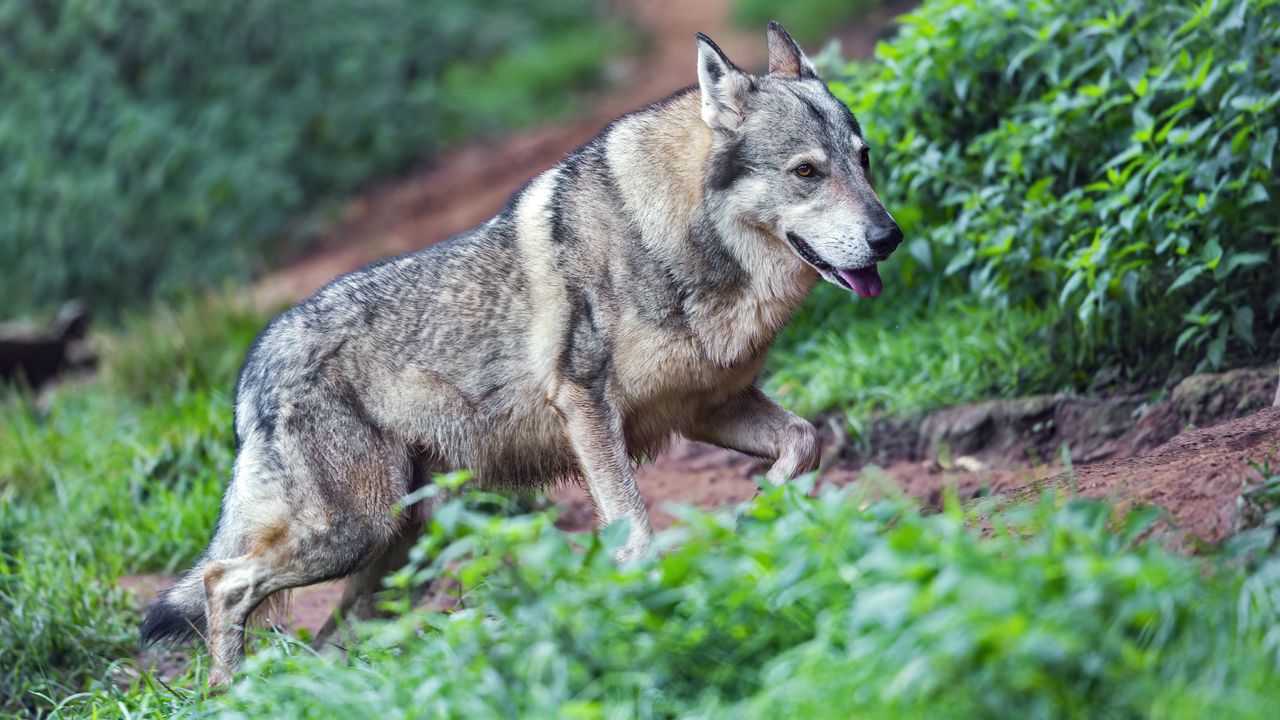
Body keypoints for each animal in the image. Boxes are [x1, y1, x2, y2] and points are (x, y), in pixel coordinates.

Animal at [140, 22, 901, 681]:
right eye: (807, 172)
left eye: (863, 160)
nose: (888, 236)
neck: (676, 240)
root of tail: (255, 363)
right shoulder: (588, 407)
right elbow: (635, 532)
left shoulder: (708, 409)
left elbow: (805, 441)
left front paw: (757, 519)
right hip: (353, 532)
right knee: (223, 580)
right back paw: (231, 695)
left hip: (394, 548)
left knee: (329, 637)